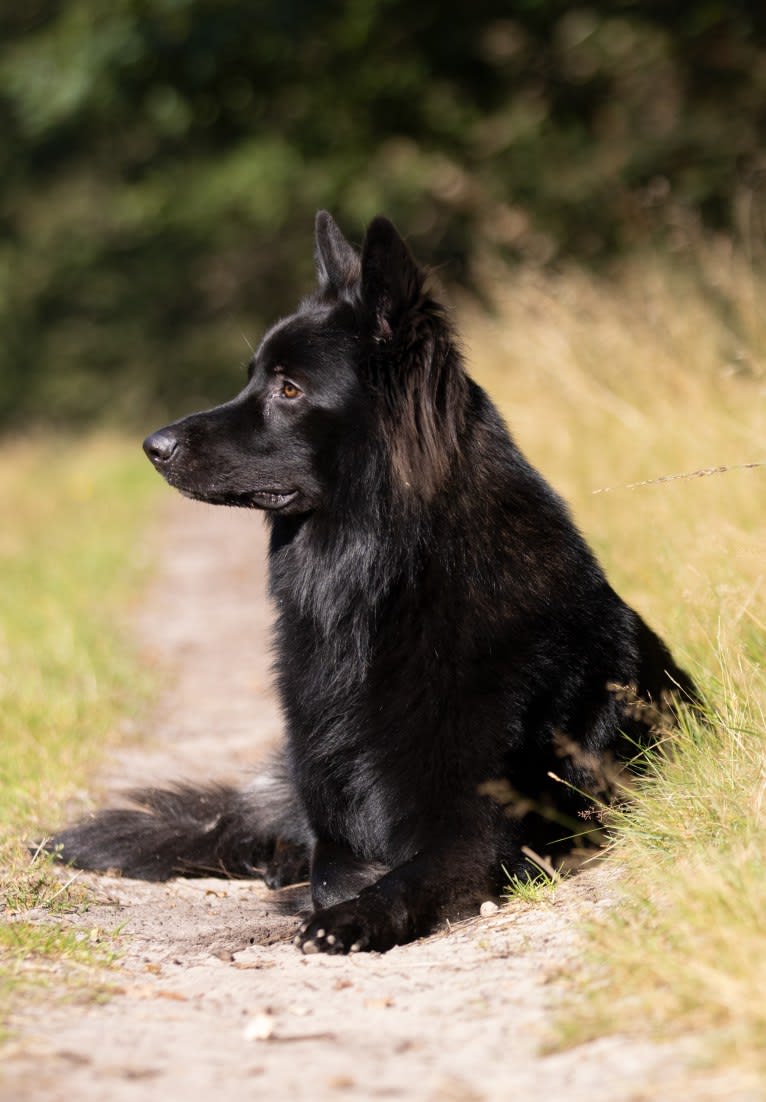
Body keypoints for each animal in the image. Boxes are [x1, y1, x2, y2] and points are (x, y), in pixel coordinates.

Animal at [47, 210, 696, 952]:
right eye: (251, 379)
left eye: (289, 389)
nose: (153, 447)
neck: (373, 588)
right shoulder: (334, 813)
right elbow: (331, 866)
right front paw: (321, 888)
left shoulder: (481, 830)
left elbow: (400, 876)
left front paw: (354, 914)